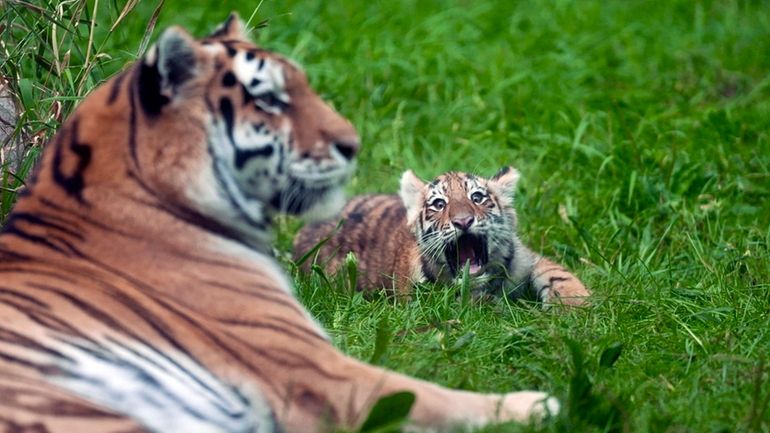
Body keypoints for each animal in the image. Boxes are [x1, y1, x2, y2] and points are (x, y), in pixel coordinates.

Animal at [0, 13, 556, 432]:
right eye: (270, 98)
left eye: (479, 200)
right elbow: (433, 394)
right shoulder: (314, 367)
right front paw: (538, 404)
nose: (353, 144)